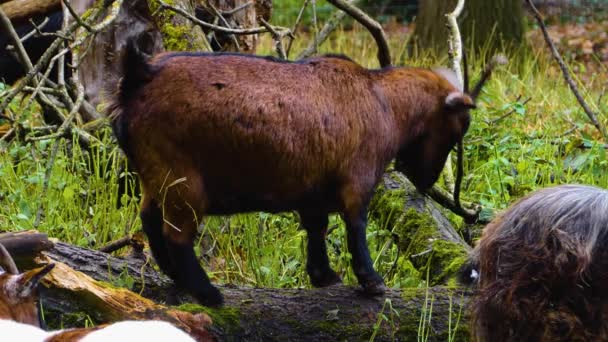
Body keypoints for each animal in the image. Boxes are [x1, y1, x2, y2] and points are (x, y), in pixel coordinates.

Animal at [109, 41, 478, 306]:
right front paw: (372, 282)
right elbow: (355, 225)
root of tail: (140, 73)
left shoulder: (313, 191)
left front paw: (323, 276)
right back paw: (208, 294)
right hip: (182, 178)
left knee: (149, 219)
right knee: (176, 235)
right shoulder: (358, 178)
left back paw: (176, 277)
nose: (426, 181)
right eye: (456, 128)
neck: (383, 100)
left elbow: (317, 228)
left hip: (155, 175)